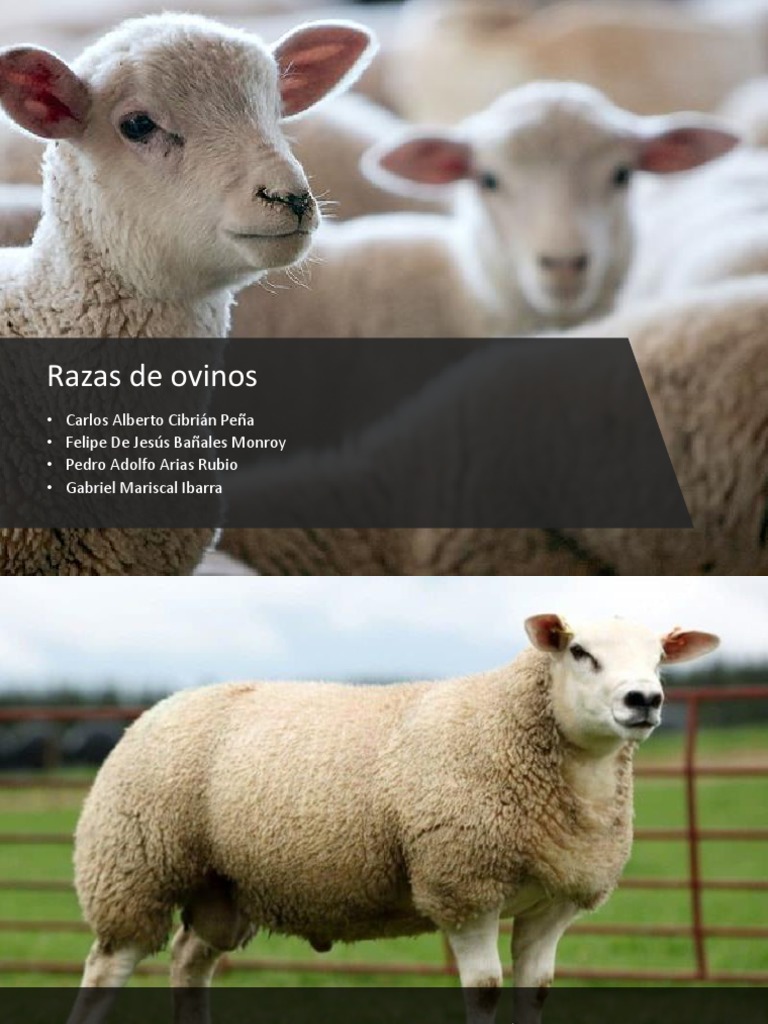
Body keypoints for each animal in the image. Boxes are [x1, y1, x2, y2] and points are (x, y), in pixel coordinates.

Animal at [68, 613, 720, 1024]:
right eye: (581, 653)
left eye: (659, 658)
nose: (644, 700)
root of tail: (160, 705)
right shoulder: (464, 886)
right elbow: (485, 992)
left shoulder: (553, 903)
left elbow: (534, 995)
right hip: (133, 869)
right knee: (106, 968)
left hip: (224, 889)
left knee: (188, 960)